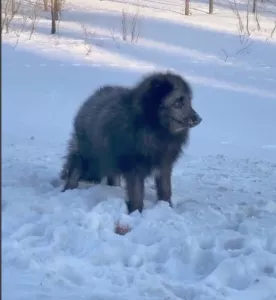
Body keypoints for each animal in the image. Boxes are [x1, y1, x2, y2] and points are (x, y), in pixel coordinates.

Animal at [61, 71, 202, 212]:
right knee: (75, 169)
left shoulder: (164, 165)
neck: (155, 130)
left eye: (189, 101)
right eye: (177, 102)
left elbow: (166, 190)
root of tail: (93, 96)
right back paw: (68, 190)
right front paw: (136, 211)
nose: (199, 119)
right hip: (88, 155)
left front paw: (166, 207)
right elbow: (137, 194)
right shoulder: (134, 168)